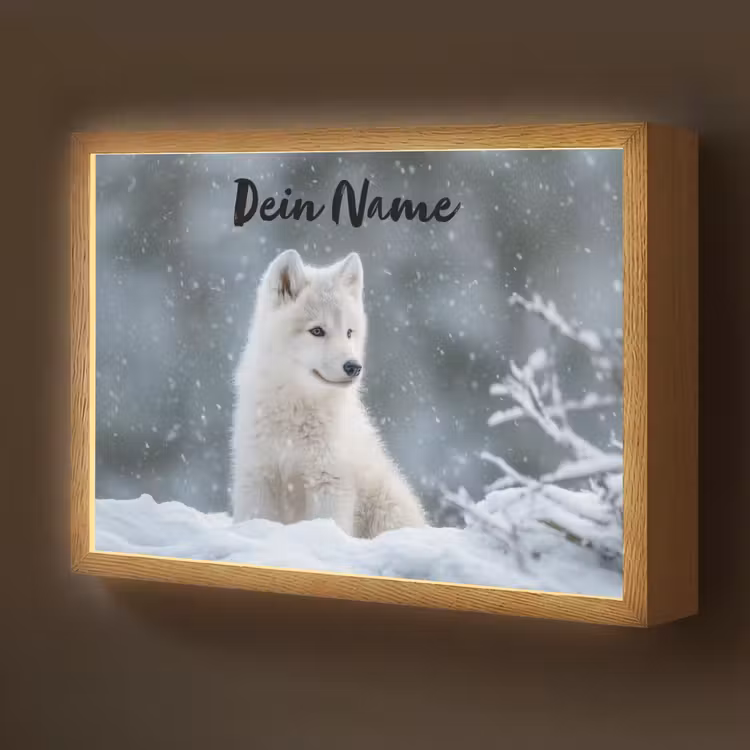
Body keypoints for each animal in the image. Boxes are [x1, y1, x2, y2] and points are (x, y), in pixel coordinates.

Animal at [230, 249, 426, 538]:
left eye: (349, 332)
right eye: (317, 331)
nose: (354, 367)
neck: (295, 414)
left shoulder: (329, 482)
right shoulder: (258, 478)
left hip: (386, 506)